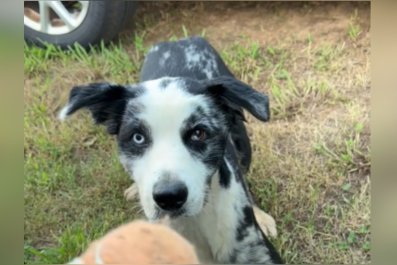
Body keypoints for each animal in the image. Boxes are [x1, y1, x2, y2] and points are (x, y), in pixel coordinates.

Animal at [58, 36, 282, 262]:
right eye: (138, 137)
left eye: (199, 133)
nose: (169, 197)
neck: (193, 224)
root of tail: (181, 40)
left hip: (243, 144)